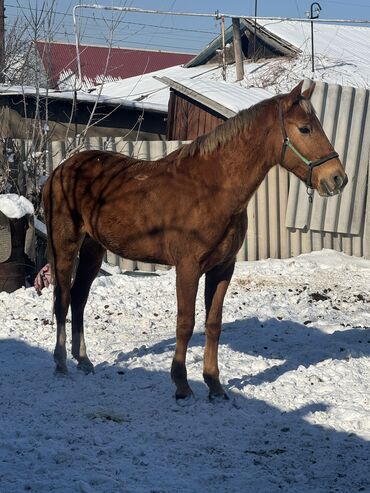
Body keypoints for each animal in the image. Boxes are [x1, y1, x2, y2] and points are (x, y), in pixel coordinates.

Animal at [43, 82, 346, 400]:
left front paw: (214, 385)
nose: (337, 178)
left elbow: (213, 324)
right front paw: (182, 384)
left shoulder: (223, 268)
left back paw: (83, 360)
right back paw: (61, 362)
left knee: (79, 297)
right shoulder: (188, 268)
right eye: (304, 129)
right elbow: (185, 323)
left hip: (93, 248)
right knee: (63, 299)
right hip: (65, 245)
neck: (212, 189)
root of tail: (61, 169)